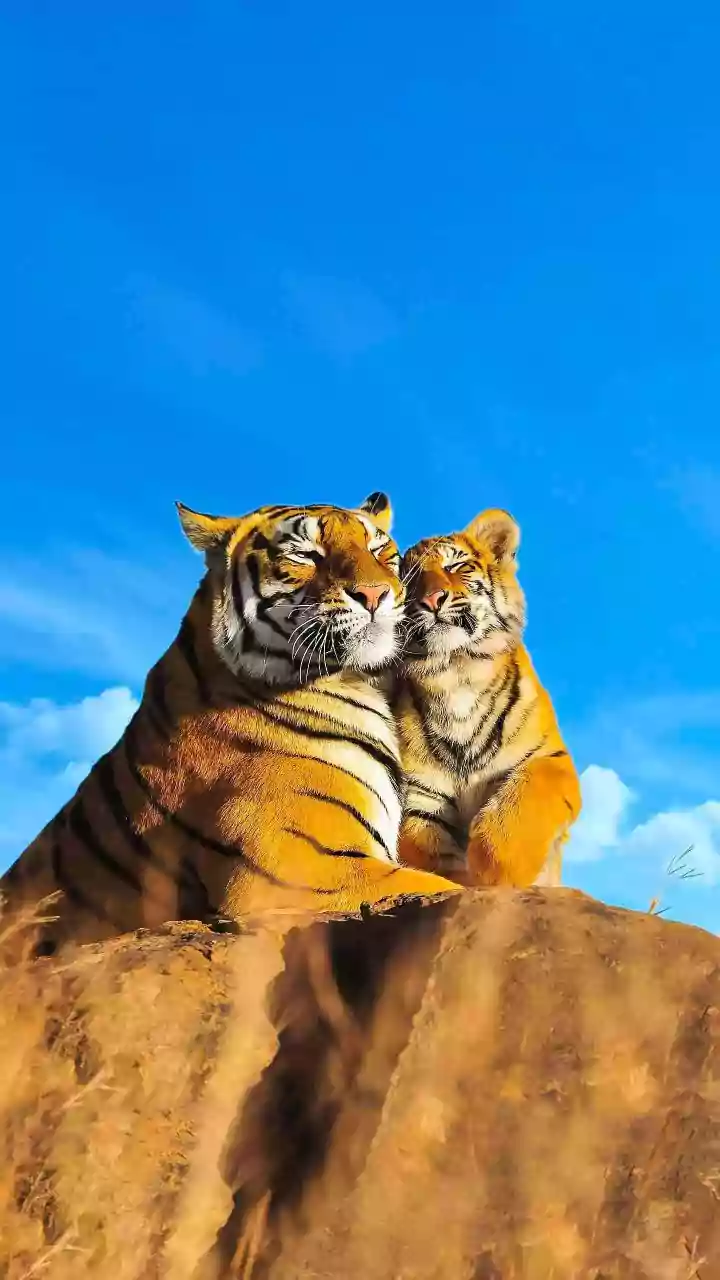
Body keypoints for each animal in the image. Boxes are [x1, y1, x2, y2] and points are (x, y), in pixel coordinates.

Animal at [393, 508, 581, 888]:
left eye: (456, 566)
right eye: (408, 580)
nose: (432, 601)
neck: (457, 673)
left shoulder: (550, 759)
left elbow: (522, 803)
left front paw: (495, 875)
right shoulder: (421, 795)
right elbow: (427, 848)